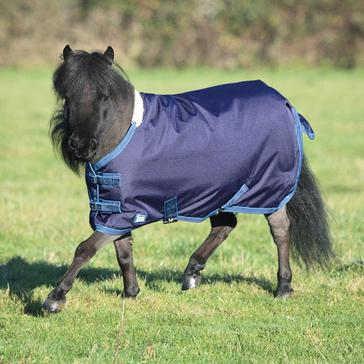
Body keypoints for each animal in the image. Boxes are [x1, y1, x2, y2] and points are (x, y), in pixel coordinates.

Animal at [42, 45, 332, 312]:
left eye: (104, 96)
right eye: (67, 96)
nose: (81, 146)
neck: (125, 132)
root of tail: (284, 102)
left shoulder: (120, 211)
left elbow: (85, 249)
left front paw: (55, 298)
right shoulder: (114, 208)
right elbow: (122, 252)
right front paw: (131, 292)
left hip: (268, 189)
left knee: (280, 231)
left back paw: (283, 287)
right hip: (223, 189)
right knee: (225, 226)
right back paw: (192, 273)